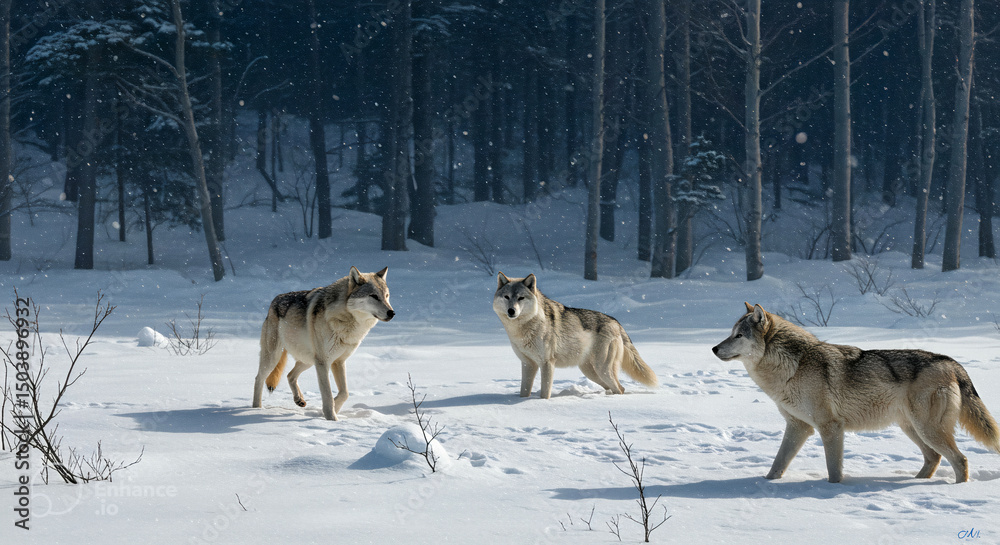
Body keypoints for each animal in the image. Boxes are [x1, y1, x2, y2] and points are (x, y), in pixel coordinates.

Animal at [252, 267, 393, 421]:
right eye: (374, 296)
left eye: (386, 296)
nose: (392, 312)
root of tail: (275, 300)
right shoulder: (323, 362)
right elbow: (327, 394)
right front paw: (331, 418)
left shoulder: (338, 361)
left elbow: (345, 393)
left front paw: (333, 410)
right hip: (274, 358)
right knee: (259, 378)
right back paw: (256, 409)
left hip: (308, 360)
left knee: (290, 375)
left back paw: (299, 400)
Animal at [493, 272, 658, 398]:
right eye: (507, 297)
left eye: (520, 298)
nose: (511, 311)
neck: (523, 329)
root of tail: (616, 322)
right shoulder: (528, 364)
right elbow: (524, 391)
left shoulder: (547, 363)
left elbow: (545, 393)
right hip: (591, 372)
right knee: (616, 387)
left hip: (602, 369)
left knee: (620, 388)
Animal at [713, 302, 1000, 483]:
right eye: (730, 334)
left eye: (738, 336)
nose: (714, 349)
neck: (792, 366)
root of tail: (951, 362)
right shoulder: (799, 427)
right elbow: (777, 465)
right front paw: (765, 484)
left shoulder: (830, 427)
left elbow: (833, 470)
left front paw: (833, 490)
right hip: (912, 428)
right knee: (935, 458)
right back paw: (914, 482)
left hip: (927, 429)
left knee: (960, 460)